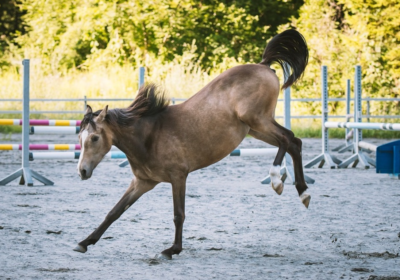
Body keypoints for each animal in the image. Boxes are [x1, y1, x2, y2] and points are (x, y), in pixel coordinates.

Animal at [76, 29, 312, 260]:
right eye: (80, 138)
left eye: (94, 138)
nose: (82, 171)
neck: (149, 136)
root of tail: (263, 65)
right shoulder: (143, 182)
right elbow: (114, 212)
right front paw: (84, 242)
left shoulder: (178, 177)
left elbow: (178, 214)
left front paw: (173, 249)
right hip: (255, 129)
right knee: (294, 142)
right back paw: (303, 192)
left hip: (258, 120)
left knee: (287, 138)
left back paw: (277, 180)